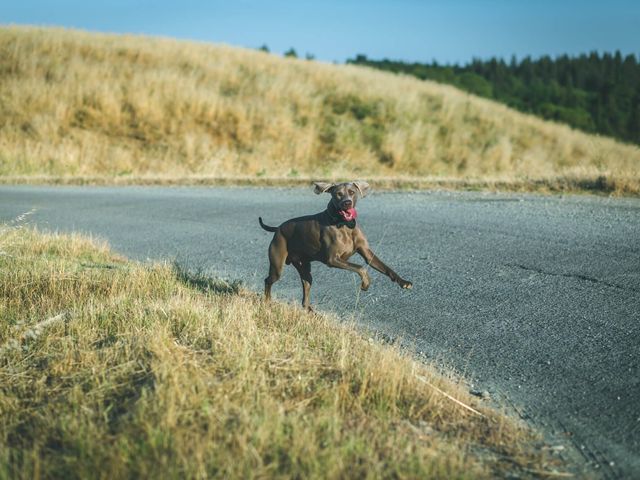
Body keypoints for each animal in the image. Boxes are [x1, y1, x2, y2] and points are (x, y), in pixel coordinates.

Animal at [258, 181, 412, 312]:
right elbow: (360, 268)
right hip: (277, 266)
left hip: (304, 267)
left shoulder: (368, 255)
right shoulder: (332, 260)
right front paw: (365, 283)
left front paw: (404, 282)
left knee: (306, 285)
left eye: (352, 192)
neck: (345, 225)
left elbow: (387, 269)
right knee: (268, 280)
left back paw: (310, 310)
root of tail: (278, 228)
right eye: (338, 194)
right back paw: (267, 302)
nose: (347, 203)